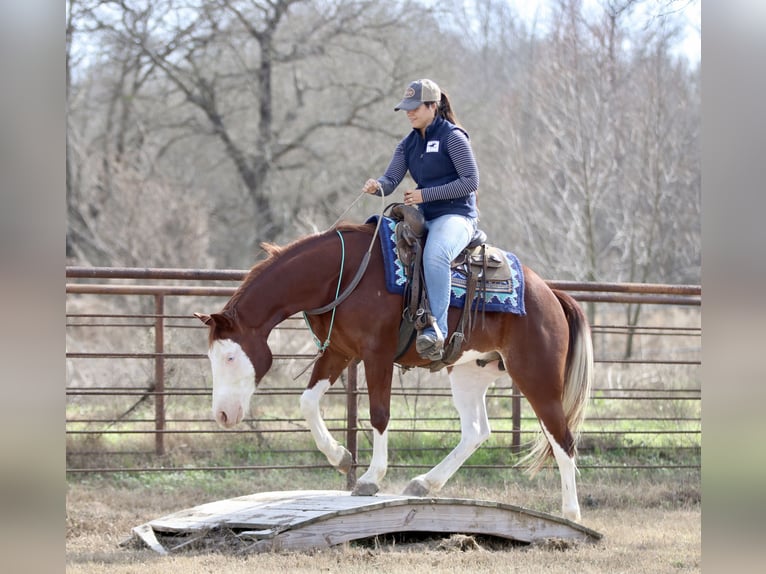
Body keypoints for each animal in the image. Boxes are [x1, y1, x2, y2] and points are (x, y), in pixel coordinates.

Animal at [194, 220, 593, 522]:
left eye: (229, 358)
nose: (223, 415)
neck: (341, 273)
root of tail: (551, 294)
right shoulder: (339, 351)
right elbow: (307, 402)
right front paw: (341, 457)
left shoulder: (377, 355)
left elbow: (379, 414)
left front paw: (370, 479)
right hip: (469, 372)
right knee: (476, 432)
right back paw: (424, 483)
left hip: (537, 377)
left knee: (562, 439)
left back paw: (571, 514)